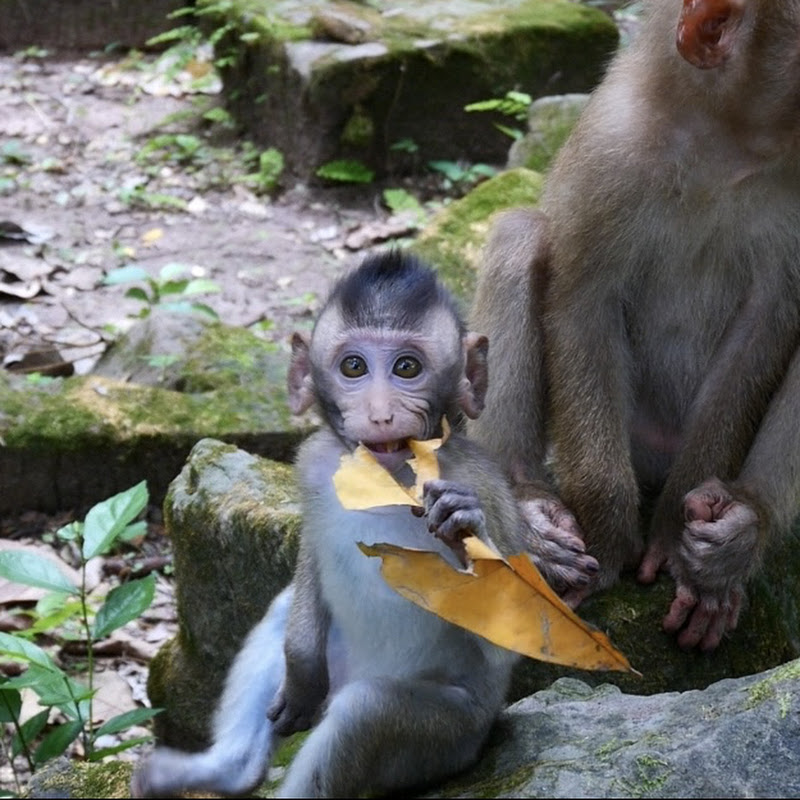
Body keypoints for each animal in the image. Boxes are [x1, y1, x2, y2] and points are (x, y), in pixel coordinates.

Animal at [132, 251, 533, 798]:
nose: (381, 414)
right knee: (286, 614)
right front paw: (300, 675)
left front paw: (463, 522)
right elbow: (311, 565)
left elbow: (508, 641)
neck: (387, 481)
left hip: (453, 734)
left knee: (367, 711)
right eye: (354, 367)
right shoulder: (314, 463)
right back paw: (228, 766)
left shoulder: (488, 485)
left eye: (408, 367)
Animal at [468, 0, 800, 653]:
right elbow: (582, 300)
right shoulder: (610, 151)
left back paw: (747, 520)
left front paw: (685, 541)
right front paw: (607, 538)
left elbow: (769, 321)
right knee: (522, 234)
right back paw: (526, 503)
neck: (727, 143)